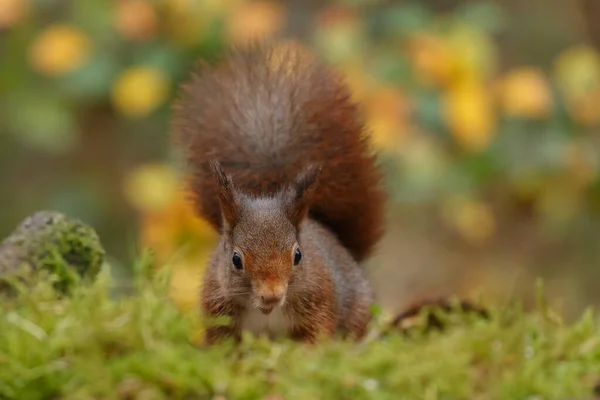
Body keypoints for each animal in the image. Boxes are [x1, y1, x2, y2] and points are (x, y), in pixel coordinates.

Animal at [170, 40, 384, 344]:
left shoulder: (320, 301)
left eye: (298, 256)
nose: (271, 296)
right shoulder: (217, 305)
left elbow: (316, 334)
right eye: (236, 259)